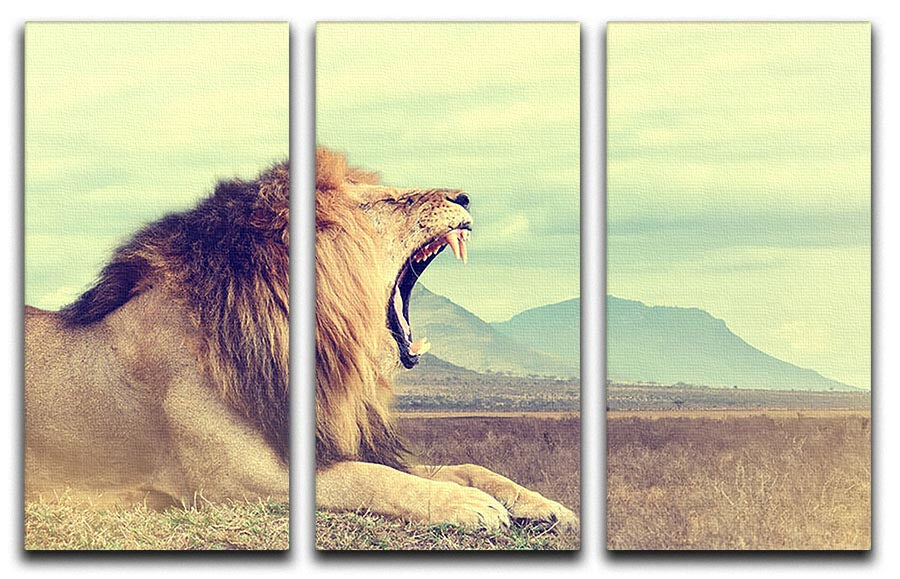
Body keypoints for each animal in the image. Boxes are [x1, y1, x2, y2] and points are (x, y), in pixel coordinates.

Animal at [315, 148, 578, 532]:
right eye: (391, 201)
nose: (463, 197)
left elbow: (470, 469)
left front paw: (549, 507)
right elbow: (375, 479)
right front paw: (476, 507)